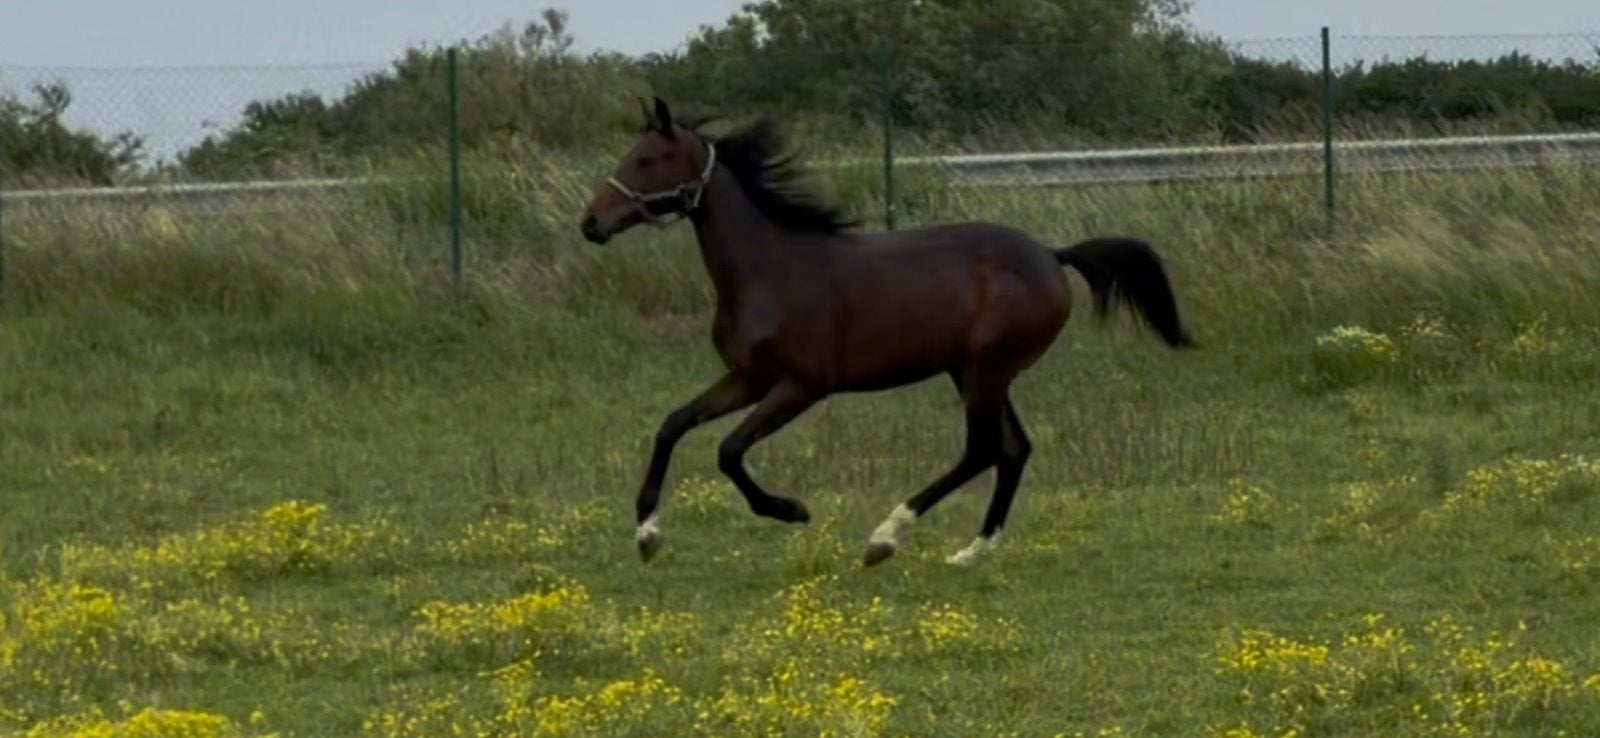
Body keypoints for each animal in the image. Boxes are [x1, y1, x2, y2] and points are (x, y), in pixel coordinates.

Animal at [580, 97, 1194, 568]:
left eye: (647, 159)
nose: (591, 223)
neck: (769, 270)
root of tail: (1051, 254)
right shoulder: (747, 378)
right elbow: (671, 425)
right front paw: (647, 532)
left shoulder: (800, 386)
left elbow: (729, 450)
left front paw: (791, 510)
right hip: (973, 370)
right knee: (1014, 448)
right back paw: (974, 549)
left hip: (987, 368)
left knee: (982, 449)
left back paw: (885, 537)